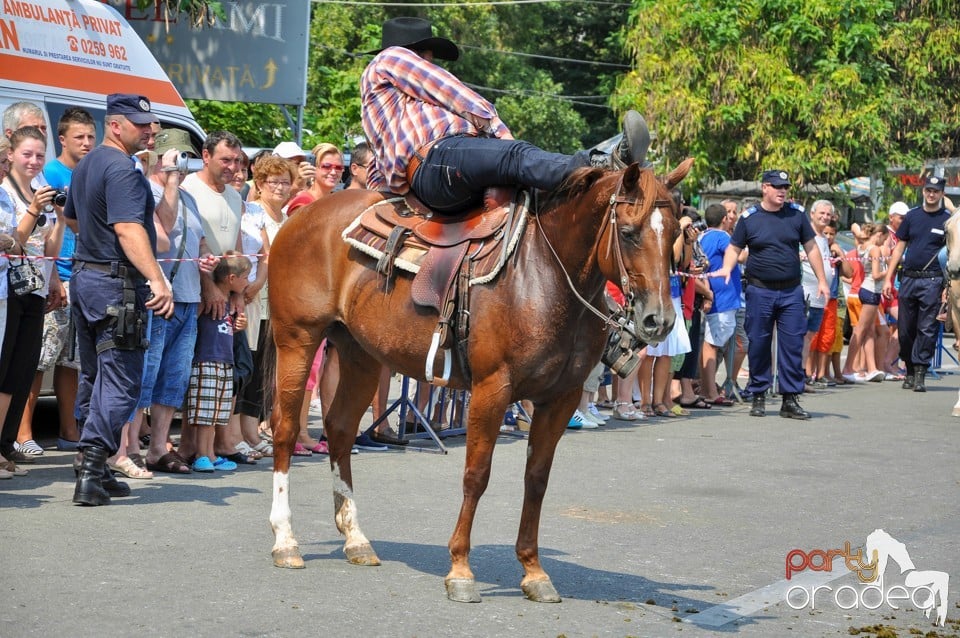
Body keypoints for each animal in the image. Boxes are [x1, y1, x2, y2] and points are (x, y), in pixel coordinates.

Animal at [266, 160, 692, 604]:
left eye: (674, 234)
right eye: (628, 232)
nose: (659, 320)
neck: (543, 275)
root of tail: (299, 217)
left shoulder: (560, 398)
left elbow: (536, 480)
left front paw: (533, 570)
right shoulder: (493, 389)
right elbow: (477, 474)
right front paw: (460, 569)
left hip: (360, 354)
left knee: (341, 429)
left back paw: (355, 539)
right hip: (297, 340)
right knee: (285, 429)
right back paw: (285, 540)